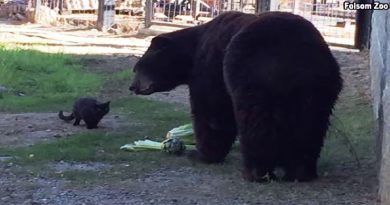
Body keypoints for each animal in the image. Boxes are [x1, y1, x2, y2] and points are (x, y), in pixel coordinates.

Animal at [129, 11, 342, 182]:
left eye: (137, 67)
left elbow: (211, 111)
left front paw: (201, 154)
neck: (192, 50)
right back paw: (301, 171)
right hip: (319, 86)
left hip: (252, 73)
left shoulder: (209, 67)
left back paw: (255, 172)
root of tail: (297, 55)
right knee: (311, 125)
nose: (132, 87)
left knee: (255, 123)